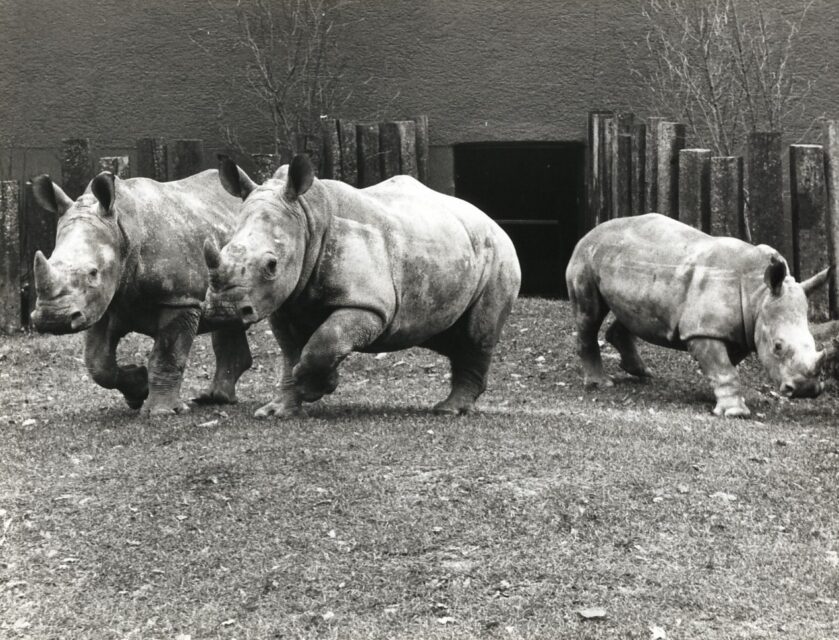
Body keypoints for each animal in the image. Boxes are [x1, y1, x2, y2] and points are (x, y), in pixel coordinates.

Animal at [30, 170, 252, 415]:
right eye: (49, 260)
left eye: (93, 272)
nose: (53, 319)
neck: (121, 228)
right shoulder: (105, 303)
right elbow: (97, 363)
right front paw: (138, 389)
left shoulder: (180, 299)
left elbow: (166, 356)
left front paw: (161, 411)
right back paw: (214, 399)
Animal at [201, 154, 521, 417]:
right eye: (223, 249)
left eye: (271, 265)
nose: (223, 312)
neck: (307, 219)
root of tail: (491, 220)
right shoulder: (284, 303)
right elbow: (291, 354)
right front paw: (278, 411)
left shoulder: (369, 305)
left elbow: (324, 342)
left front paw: (316, 387)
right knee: (448, 333)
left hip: (499, 253)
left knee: (476, 334)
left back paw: (448, 410)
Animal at [566, 213, 829, 417]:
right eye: (777, 346)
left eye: (814, 343)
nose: (805, 389)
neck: (758, 293)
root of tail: (592, 230)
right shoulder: (703, 331)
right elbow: (724, 369)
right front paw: (735, 412)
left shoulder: (740, 330)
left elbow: (724, 367)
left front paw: (717, 399)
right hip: (585, 257)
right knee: (589, 315)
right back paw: (601, 384)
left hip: (623, 260)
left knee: (631, 313)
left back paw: (643, 372)